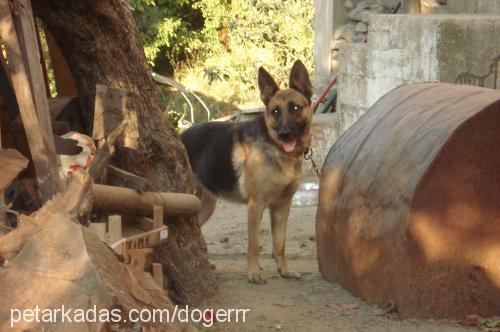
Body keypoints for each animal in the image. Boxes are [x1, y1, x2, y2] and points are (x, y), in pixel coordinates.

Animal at [182, 59, 310, 282]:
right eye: (275, 111)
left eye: (295, 108)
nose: (284, 134)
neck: (278, 151)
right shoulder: (256, 205)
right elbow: (253, 245)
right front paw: (254, 273)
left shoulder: (282, 207)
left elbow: (280, 245)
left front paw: (284, 270)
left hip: (205, 206)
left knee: (196, 228)